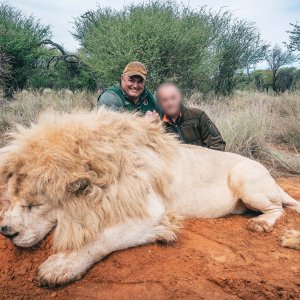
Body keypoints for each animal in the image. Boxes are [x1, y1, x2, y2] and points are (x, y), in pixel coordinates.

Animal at [0, 109, 298, 288]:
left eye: (34, 205)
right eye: (10, 200)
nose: (5, 231)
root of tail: (269, 174)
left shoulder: (151, 212)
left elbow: (103, 238)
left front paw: (59, 267)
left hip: (245, 179)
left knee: (279, 208)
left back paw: (261, 224)